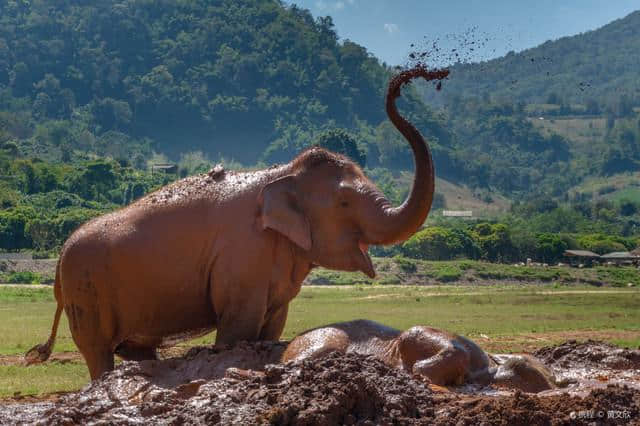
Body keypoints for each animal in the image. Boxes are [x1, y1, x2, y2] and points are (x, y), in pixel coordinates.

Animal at [26, 66, 450, 380]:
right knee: (98, 351)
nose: (408, 81)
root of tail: (59, 257)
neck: (282, 172)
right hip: (86, 292)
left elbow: (272, 325)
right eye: (345, 202)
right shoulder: (243, 257)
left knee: (138, 351)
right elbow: (238, 327)